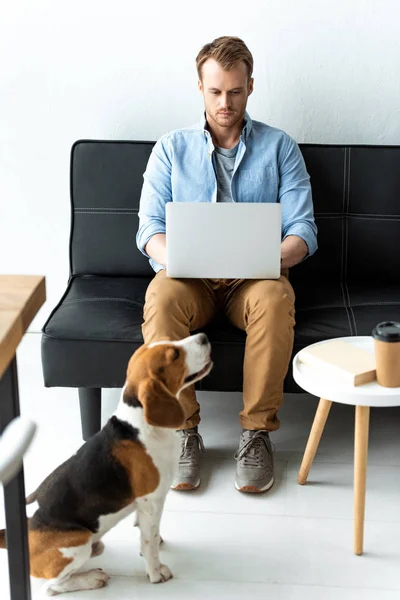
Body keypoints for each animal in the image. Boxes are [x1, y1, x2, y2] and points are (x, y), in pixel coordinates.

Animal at [0, 332, 212, 596]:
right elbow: (149, 541)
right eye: (174, 355)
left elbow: (147, 532)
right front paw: (155, 571)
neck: (139, 423)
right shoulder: (151, 500)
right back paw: (92, 578)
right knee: (52, 587)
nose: (204, 337)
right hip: (77, 543)